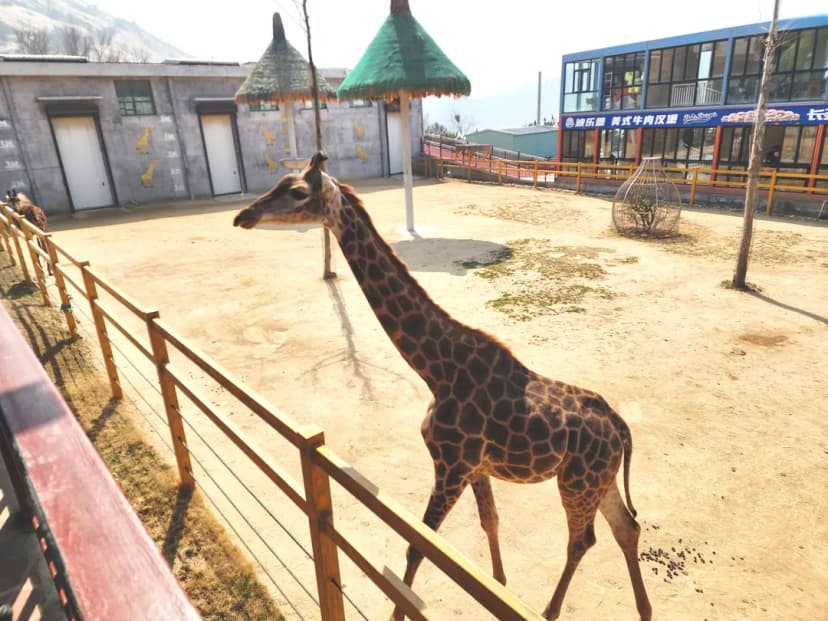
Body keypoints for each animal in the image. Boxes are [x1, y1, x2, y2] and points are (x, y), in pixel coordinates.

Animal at [232, 153, 652, 621]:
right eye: (278, 183)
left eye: (298, 192)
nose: (243, 216)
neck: (436, 370)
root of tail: (621, 429)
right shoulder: (475, 468)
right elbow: (490, 524)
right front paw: (499, 586)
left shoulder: (450, 464)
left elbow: (417, 547)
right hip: (599, 479)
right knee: (626, 528)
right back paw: (644, 611)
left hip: (577, 482)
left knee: (583, 539)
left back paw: (548, 611)